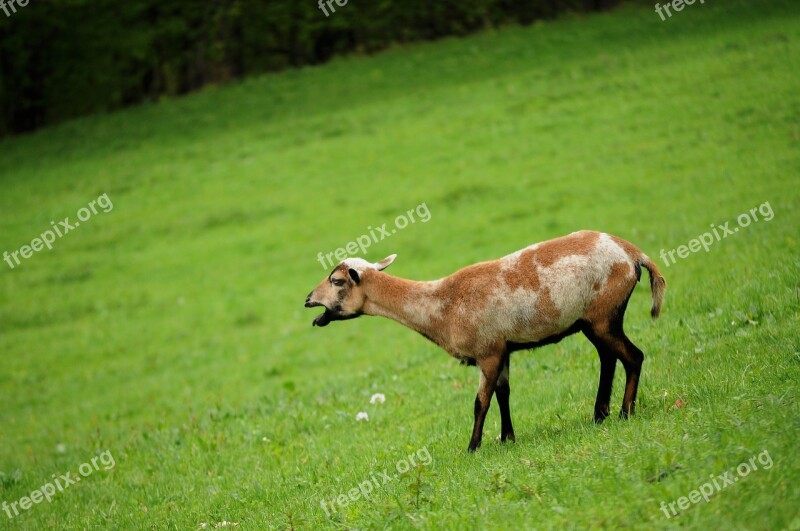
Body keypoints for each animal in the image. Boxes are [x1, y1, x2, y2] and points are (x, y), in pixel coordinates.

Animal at [304, 231, 664, 450]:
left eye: (336, 281)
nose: (308, 300)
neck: (441, 305)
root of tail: (633, 253)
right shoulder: (501, 350)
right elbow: (503, 394)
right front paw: (507, 439)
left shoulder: (487, 351)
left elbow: (481, 402)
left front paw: (473, 447)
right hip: (595, 321)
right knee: (609, 359)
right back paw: (600, 414)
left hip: (604, 313)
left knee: (633, 357)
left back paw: (624, 413)